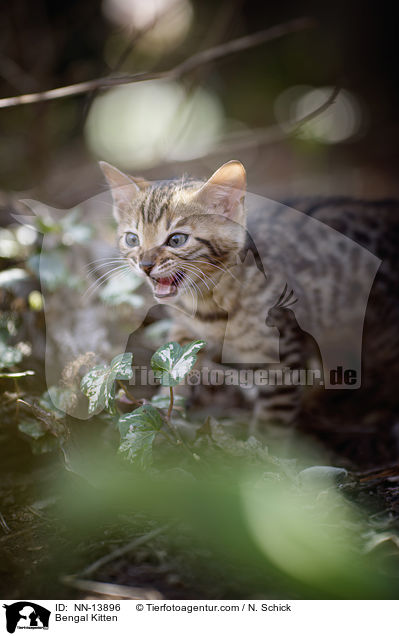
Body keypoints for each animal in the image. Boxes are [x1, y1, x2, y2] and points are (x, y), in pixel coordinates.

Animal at [101, 161, 399, 434]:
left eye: (176, 240)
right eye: (132, 239)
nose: (145, 264)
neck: (208, 304)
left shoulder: (282, 355)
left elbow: (273, 420)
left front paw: (260, 455)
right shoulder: (186, 334)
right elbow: (176, 375)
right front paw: (162, 419)